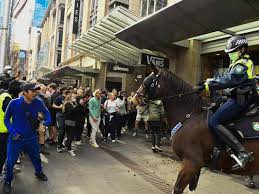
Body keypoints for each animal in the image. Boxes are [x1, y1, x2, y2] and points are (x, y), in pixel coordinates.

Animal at [132, 65, 259, 194]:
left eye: (147, 81)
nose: (133, 100)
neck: (190, 116)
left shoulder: (191, 163)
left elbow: (177, 189)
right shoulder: (195, 167)